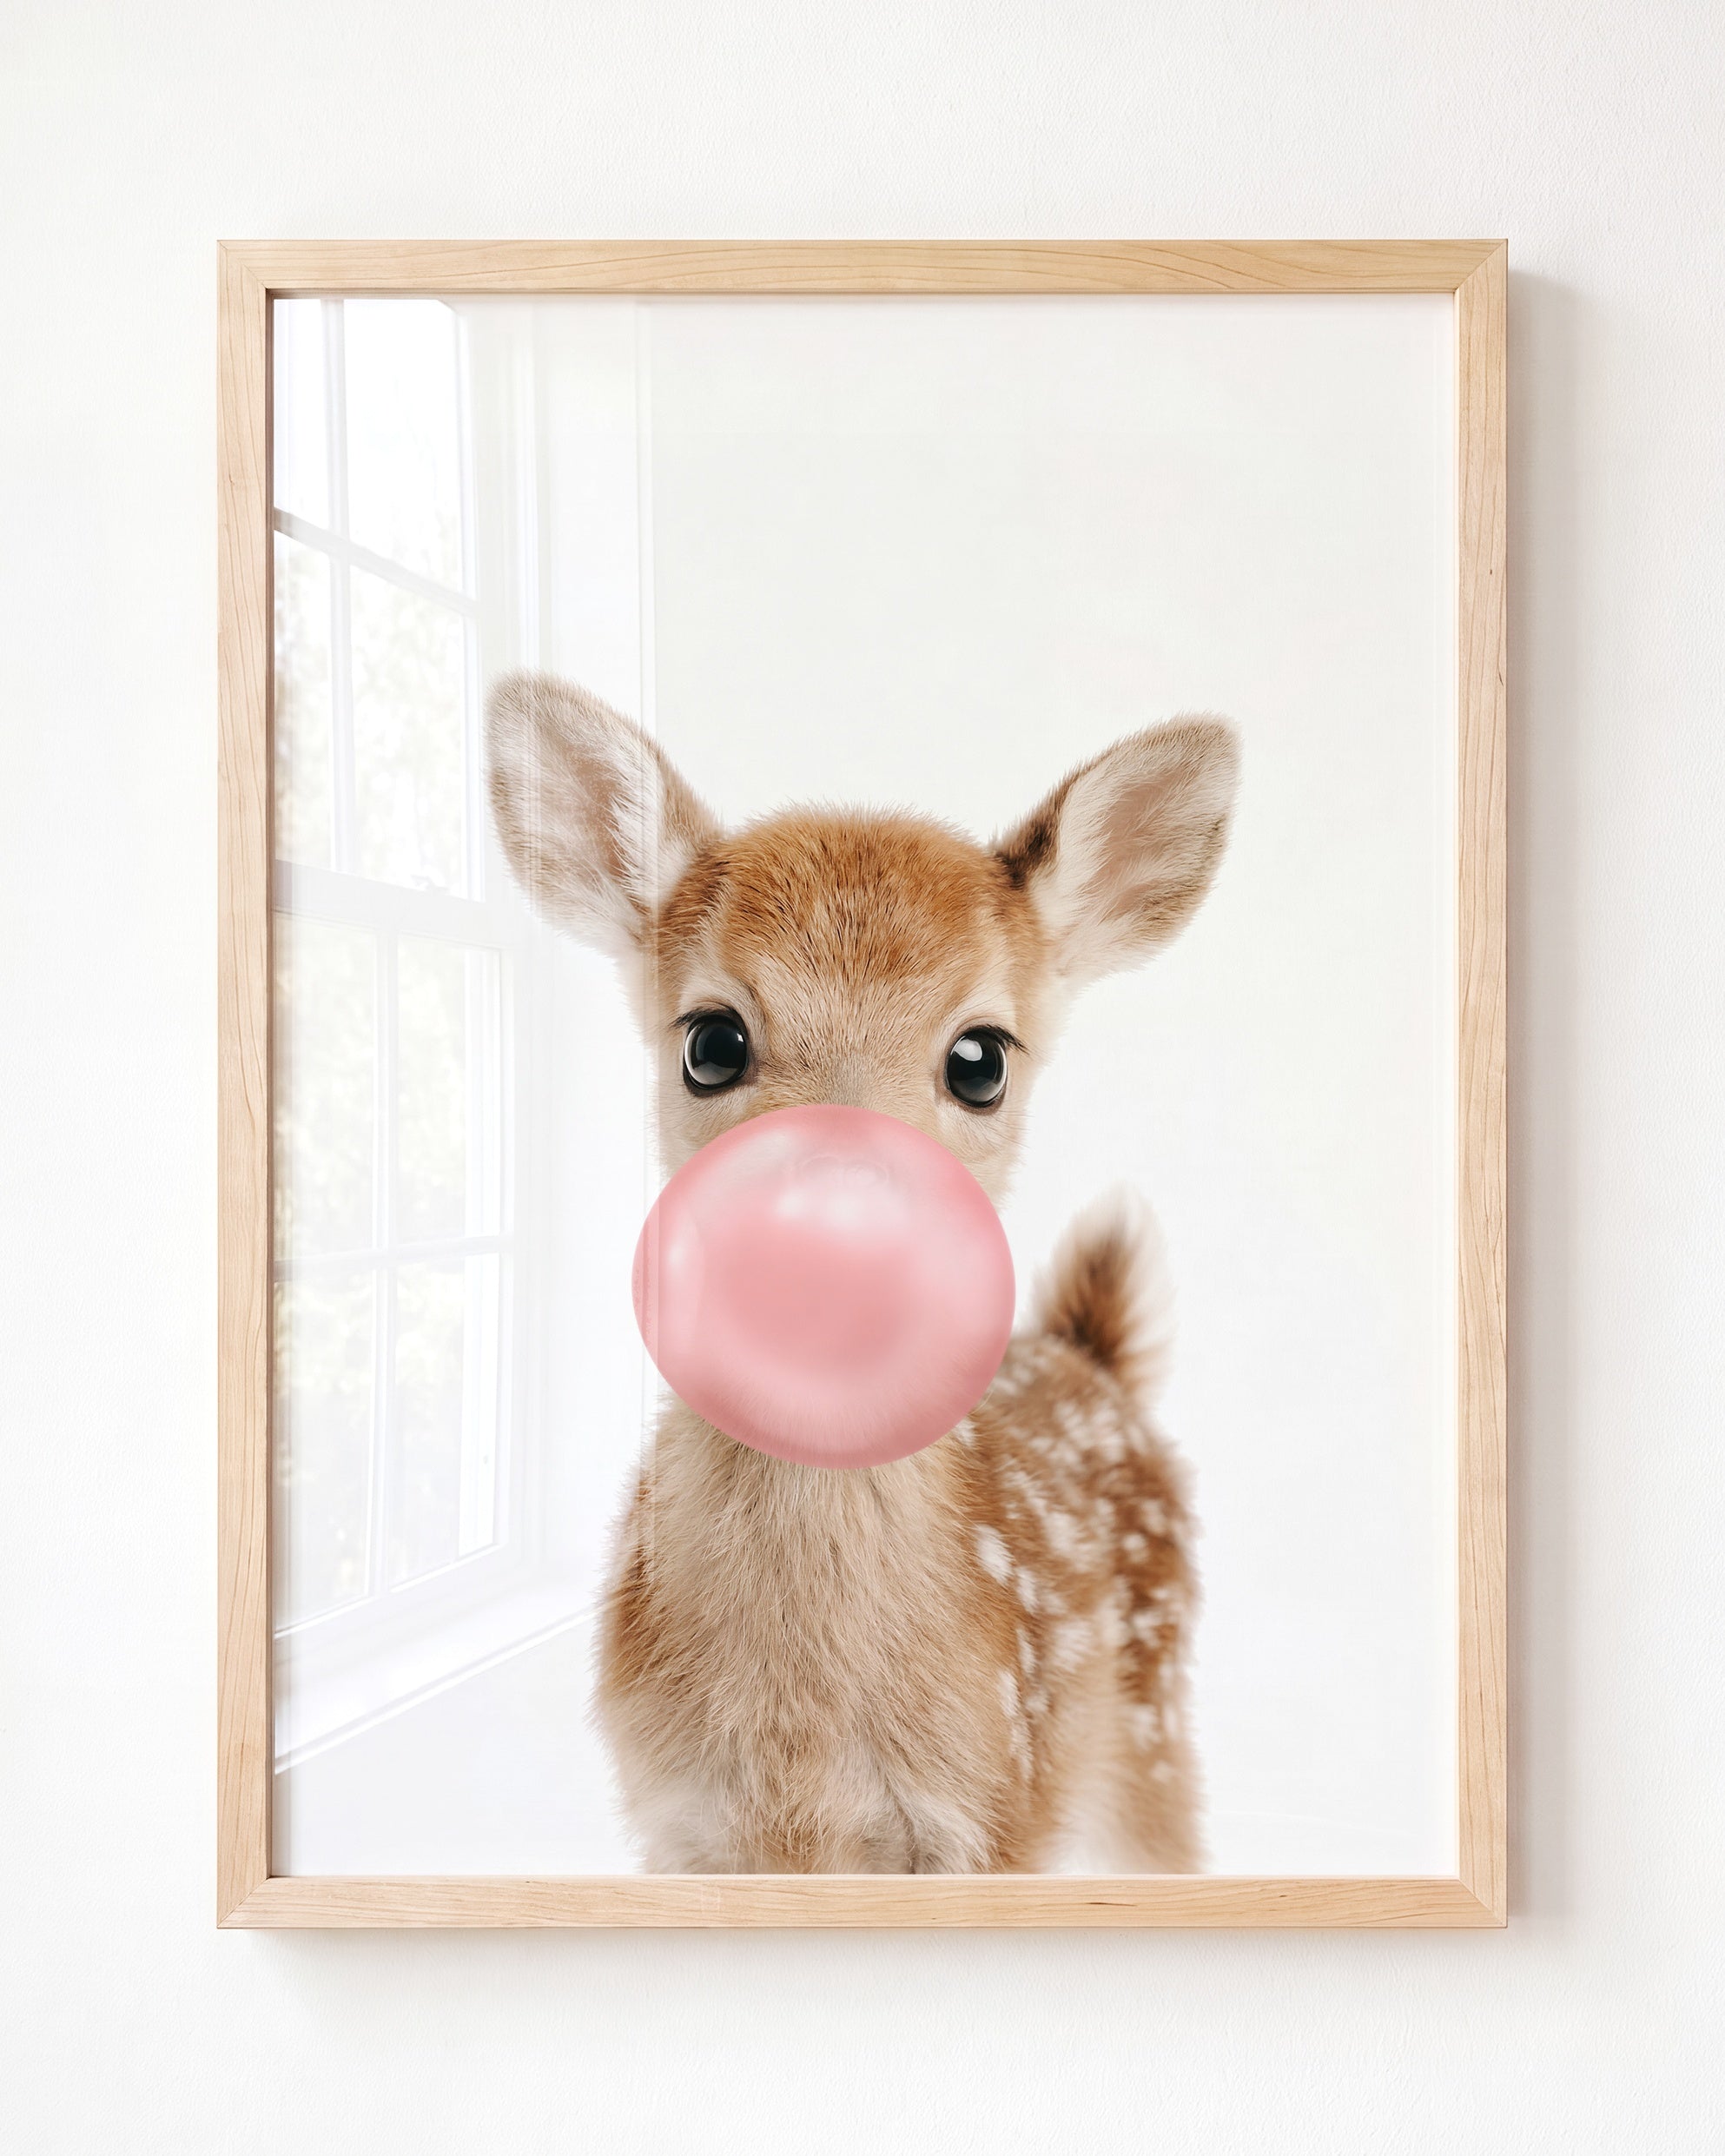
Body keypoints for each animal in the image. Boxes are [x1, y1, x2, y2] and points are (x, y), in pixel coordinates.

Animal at [486, 670, 1239, 1874]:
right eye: (710, 1042)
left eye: (981, 1059)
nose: (838, 1226)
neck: (800, 1752)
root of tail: (1094, 1358)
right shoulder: (679, 1825)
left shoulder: (991, 1812)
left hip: (1149, 1741)